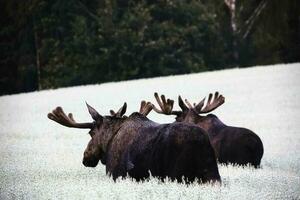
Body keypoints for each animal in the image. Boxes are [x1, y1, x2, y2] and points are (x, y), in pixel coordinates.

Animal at [47, 101, 220, 184]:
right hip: (212, 175)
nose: (86, 157)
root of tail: (202, 143)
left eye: (90, 133)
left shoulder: (116, 174)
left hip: (177, 175)